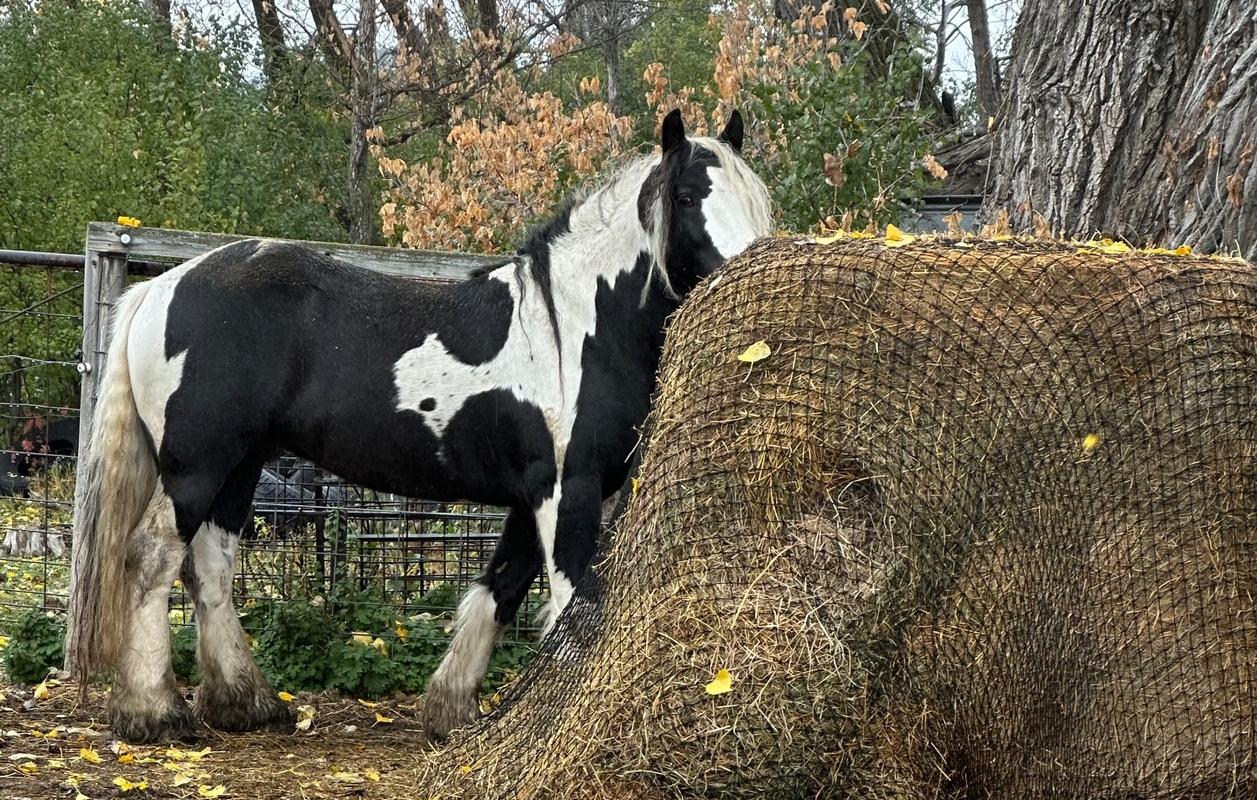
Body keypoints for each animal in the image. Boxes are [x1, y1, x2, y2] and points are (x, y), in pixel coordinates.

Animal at [67, 109, 773, 743]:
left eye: (754, 198)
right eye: (687, 196)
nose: (751, 277)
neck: (578, 326)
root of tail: (160, 289)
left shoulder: (529, 499)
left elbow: (501, 591)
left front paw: (453, 714)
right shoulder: (566, 491)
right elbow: (572, 608)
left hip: (240, 467)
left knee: (210, 567)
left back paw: (246, 705)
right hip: (196, 464)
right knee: (153, 558)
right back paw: (154, 713)